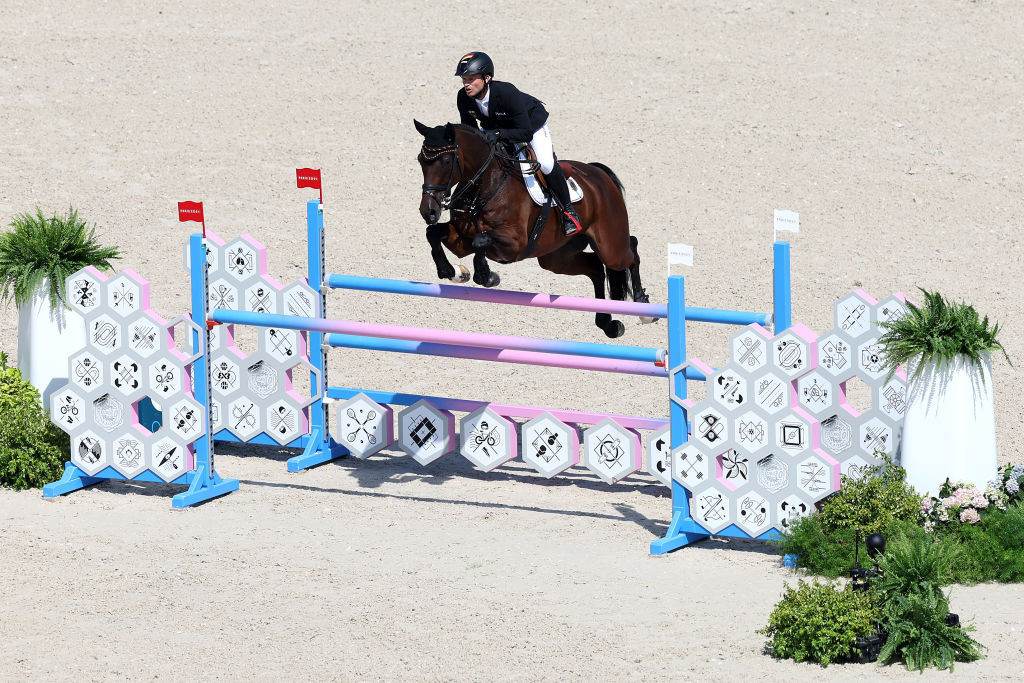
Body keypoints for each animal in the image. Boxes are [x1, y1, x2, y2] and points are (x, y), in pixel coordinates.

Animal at [411, 121, 651, 339]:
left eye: (445, 161)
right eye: (421, 160)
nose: (428, 211)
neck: (485, 186)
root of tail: (598, 174)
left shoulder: (516, 244)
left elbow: (481, 240)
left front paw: (486, 275)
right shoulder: (461, 240)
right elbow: (433, 234)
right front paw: (452, 272)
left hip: (610, 246)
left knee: (630, 248)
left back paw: (643, 307)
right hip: (556, 257)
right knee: (595, 268)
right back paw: (607, 323)